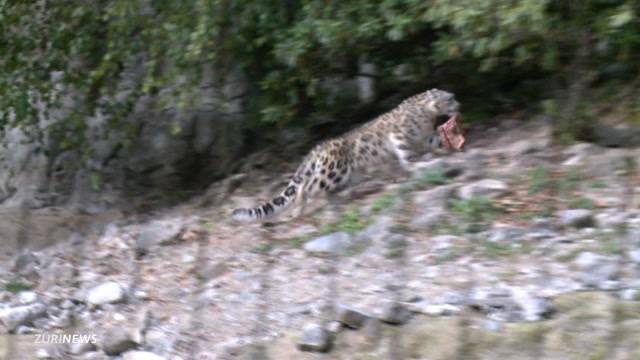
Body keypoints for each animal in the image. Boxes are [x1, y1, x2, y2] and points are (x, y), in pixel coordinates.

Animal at [232, 88, 462, 222]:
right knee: (307, 186)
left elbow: (434, 141)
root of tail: (320, 147)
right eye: (450, 98)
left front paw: (452, 142)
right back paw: (298, 209)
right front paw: (415, 162)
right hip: (333, 171)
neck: (427, 119)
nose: (459, 105)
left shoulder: (426, 136)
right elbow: (405, 151)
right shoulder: (400, 135)